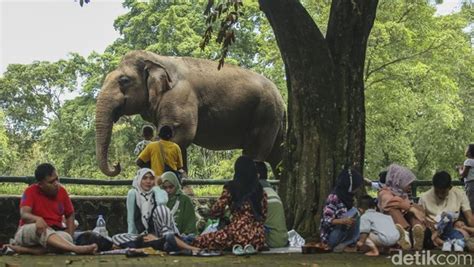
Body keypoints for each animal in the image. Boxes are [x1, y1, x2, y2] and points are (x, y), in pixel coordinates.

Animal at [94, 50, 284, 178]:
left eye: (124, 80)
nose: (117, 164)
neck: (158, 59)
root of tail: (281, 97)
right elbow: (176, 143)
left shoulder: (180, 96)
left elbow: (180, 135)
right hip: (273, 119)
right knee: (277, 156)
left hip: (265, 114)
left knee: (255, 151)